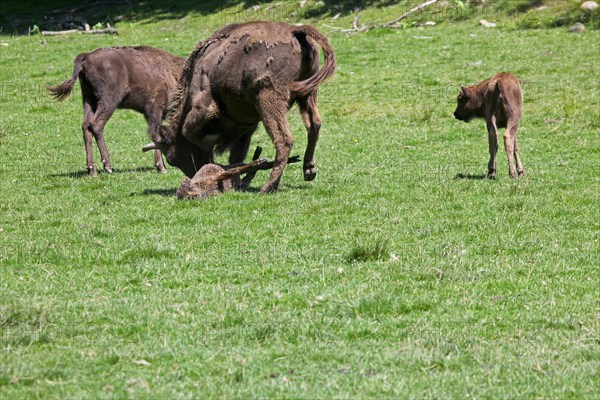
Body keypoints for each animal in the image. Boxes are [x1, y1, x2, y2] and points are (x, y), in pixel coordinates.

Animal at [47, 46, 185, 176]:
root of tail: (87, 56)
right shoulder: (154, 110)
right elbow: (155, 135)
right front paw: (161, 167)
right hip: (108, 101)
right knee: (96, 124)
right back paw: (108, 166)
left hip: (88, 100)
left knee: (86, 126)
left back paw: (92, 170)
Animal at [142, 21, 336, 194]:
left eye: (173, 158)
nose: (196, 174)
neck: (197, 73)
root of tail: (294, 30)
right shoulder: (246, 127)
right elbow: (236, 154)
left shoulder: (203, 108)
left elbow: (191, 132)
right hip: (308, 94)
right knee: (314, 125)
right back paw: (309, 169)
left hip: (269, 99)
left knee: (284, 139)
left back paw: (268, 187)